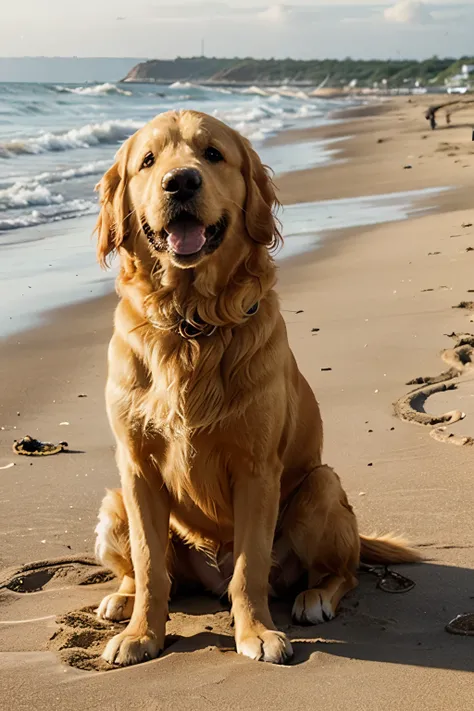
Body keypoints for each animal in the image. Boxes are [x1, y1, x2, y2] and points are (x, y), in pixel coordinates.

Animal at [93, 111, 418, 668]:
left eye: (213, 154)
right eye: (148, 161)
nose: (180, 182)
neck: (191, 324)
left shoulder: (256, 468)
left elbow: (250, 568)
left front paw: (257, 633)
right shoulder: (136, 469)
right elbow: (152, 565)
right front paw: (142, 635)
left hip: (320, 486)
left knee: (341, 573)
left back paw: (314, 597)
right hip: (114, 502)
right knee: (152, 573)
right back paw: (123, 598)